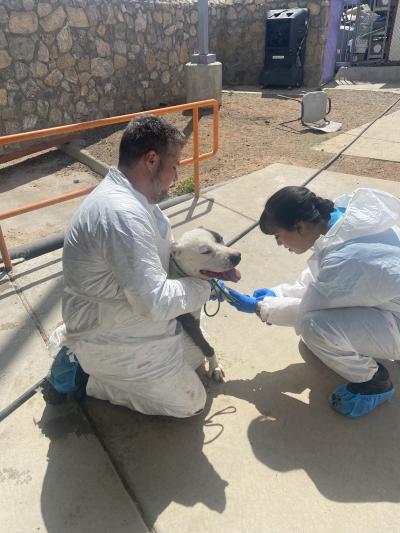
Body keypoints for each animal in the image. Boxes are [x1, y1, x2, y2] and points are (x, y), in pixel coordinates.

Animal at [170, 227, 241, 380]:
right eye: (205, 251)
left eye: (220, 238)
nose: (237, 256)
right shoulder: (190, 324)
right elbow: (207, 347)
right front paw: (215, 367)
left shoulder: (210, 285)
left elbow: (221, 289)